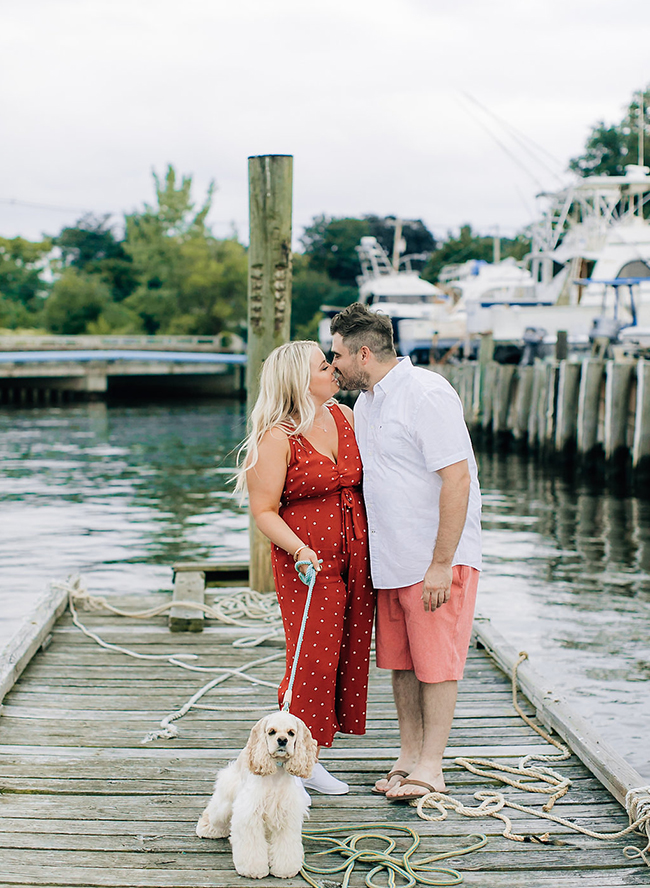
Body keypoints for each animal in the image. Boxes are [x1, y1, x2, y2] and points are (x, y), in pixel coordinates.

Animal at [195, 712, 316, 876]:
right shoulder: (250, 813)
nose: (282, 740)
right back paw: (207, 829)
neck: (276, 771)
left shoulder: (286, 815)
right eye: (271, 732)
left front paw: (285, 869)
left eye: (291, 733)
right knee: (214, 813)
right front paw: (253, 870)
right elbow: (251, 845)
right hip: (225, 799)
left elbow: (286, 845)